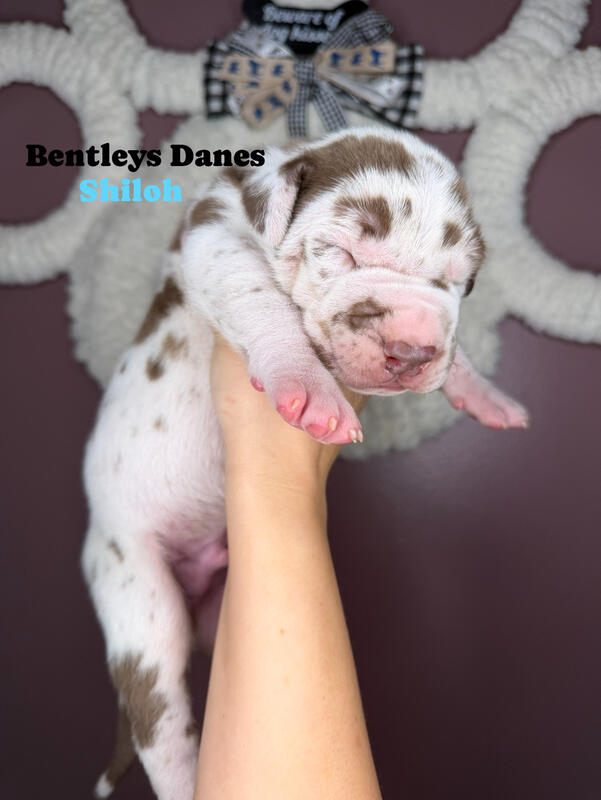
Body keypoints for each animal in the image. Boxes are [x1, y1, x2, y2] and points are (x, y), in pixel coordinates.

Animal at [82, 127, 528, 800]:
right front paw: (308, 387)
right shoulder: (212, 235)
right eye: (339, 252)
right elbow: (259, 296)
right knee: (159, 726)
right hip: (138, 599)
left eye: (462, 281)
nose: (412, 349)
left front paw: (484, 392)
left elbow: (459, 348)